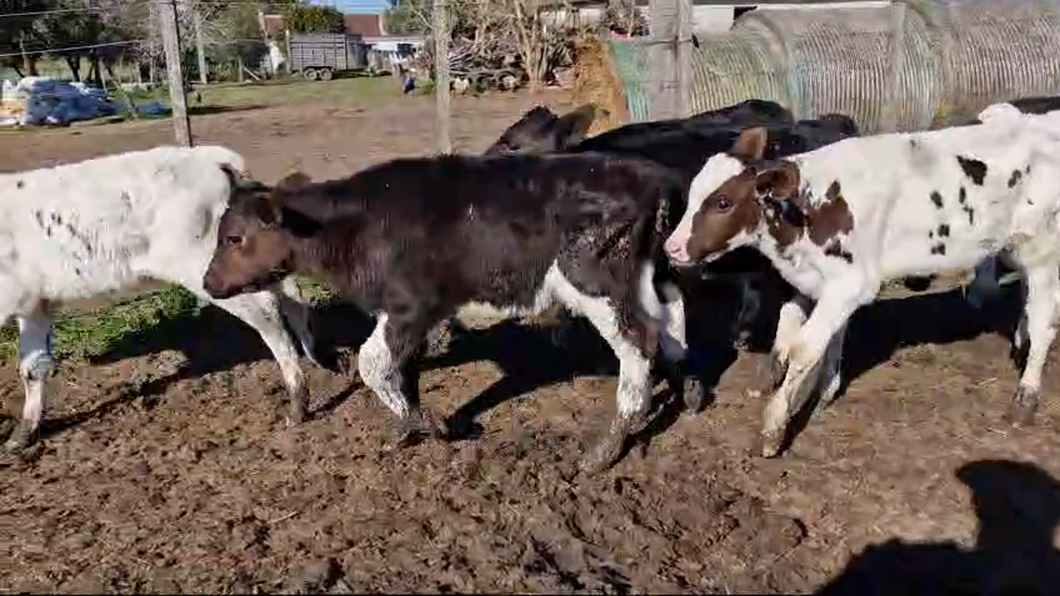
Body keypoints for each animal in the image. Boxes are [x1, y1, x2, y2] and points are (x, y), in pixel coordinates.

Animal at [0, 145, 320, 460]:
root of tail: (211, 156)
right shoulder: (33, 305)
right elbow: (32, 367)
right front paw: (22, 435)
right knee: (291, 293)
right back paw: (313, 355)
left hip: (208, 268)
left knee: (266, 311)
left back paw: (297, 400)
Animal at [199, 150, 695, 470]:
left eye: (234, 238)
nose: (209, 283)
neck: (357, 228)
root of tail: (657, 179)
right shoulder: (410, 317)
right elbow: (404, 368)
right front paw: (404, 431)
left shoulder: (411, 306)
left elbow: (371, 364)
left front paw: (432, 425)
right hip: (655, 273)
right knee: (673, 320)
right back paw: (687, 393)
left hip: (598, 282)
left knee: (640, 344)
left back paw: (606, 448)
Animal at [665, 109, 1060, 453]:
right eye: (694, 194)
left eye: (723, 202)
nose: (672, 248)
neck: (812, 205)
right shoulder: (818, 281)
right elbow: (797, 331)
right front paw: (824, 389)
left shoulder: (849, 284)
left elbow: (804, 348)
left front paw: (774, 426)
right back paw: (1020, 346)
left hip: (1041, 253)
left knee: (1044, 322)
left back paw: (1025, 399)